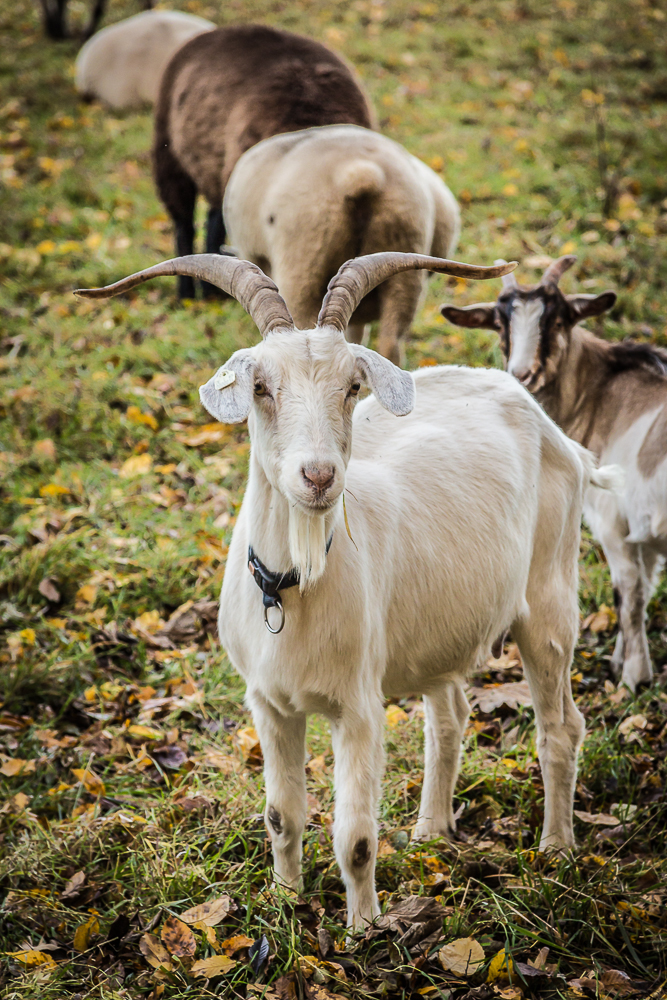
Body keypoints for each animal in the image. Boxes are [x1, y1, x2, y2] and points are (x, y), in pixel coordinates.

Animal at [78, 250, 612, 928]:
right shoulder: (269, 704)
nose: (318, 475)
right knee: (449, 717)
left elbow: (355, 837)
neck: (293, 586)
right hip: (438, 629)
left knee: (561, 727)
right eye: (260, 388)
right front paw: (285, 904)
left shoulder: (358, 707)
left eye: (352, 387)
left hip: (550, 601)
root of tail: (543, 420)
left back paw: (557, 850)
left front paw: (363, 930)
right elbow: (282, 816)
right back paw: (432, 832)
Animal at [440, 252, 664, 688]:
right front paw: (621, 662)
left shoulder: (613, 521)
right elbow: (643, 588)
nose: (522, 373)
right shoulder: (642, 532)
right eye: (500, 324)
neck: (601, 398)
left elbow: (628, 595)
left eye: (558, 321)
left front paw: (634, 678)